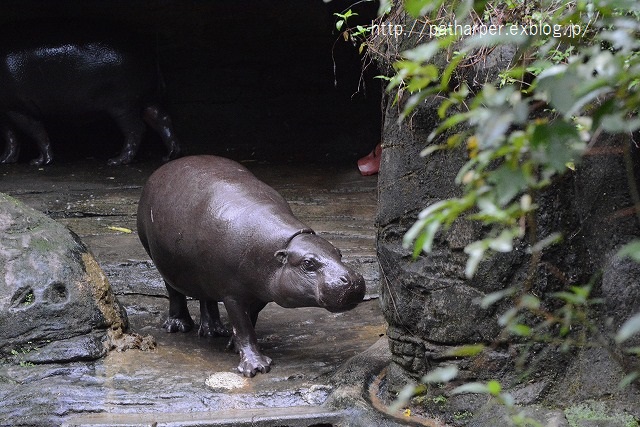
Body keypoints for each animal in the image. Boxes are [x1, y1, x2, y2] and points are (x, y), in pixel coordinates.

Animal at [0, 23, 180, 166]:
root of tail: (150, 53)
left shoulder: (20, 108)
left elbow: (35, 132)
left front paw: (39, 162)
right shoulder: (6, 111)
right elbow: (11, 136)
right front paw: (5, 160)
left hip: (123, 106)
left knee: (136, 129)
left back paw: (116, 161)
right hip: (144, 100)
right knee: (161, 118)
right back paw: (170, 155)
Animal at [138, 155, 368, 376]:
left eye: (338, 252)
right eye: (308, 263)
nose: (353, 280)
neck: (282, 248)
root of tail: (167, 166)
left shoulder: (261, 291)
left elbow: (252, 318)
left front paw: (232, 344)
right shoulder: (233, 295)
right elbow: (244, 327)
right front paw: (256, 367)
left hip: (204, 272)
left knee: (206, 297)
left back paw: (214, 331)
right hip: (158, 257)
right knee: (174, 291)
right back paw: (178, 326)